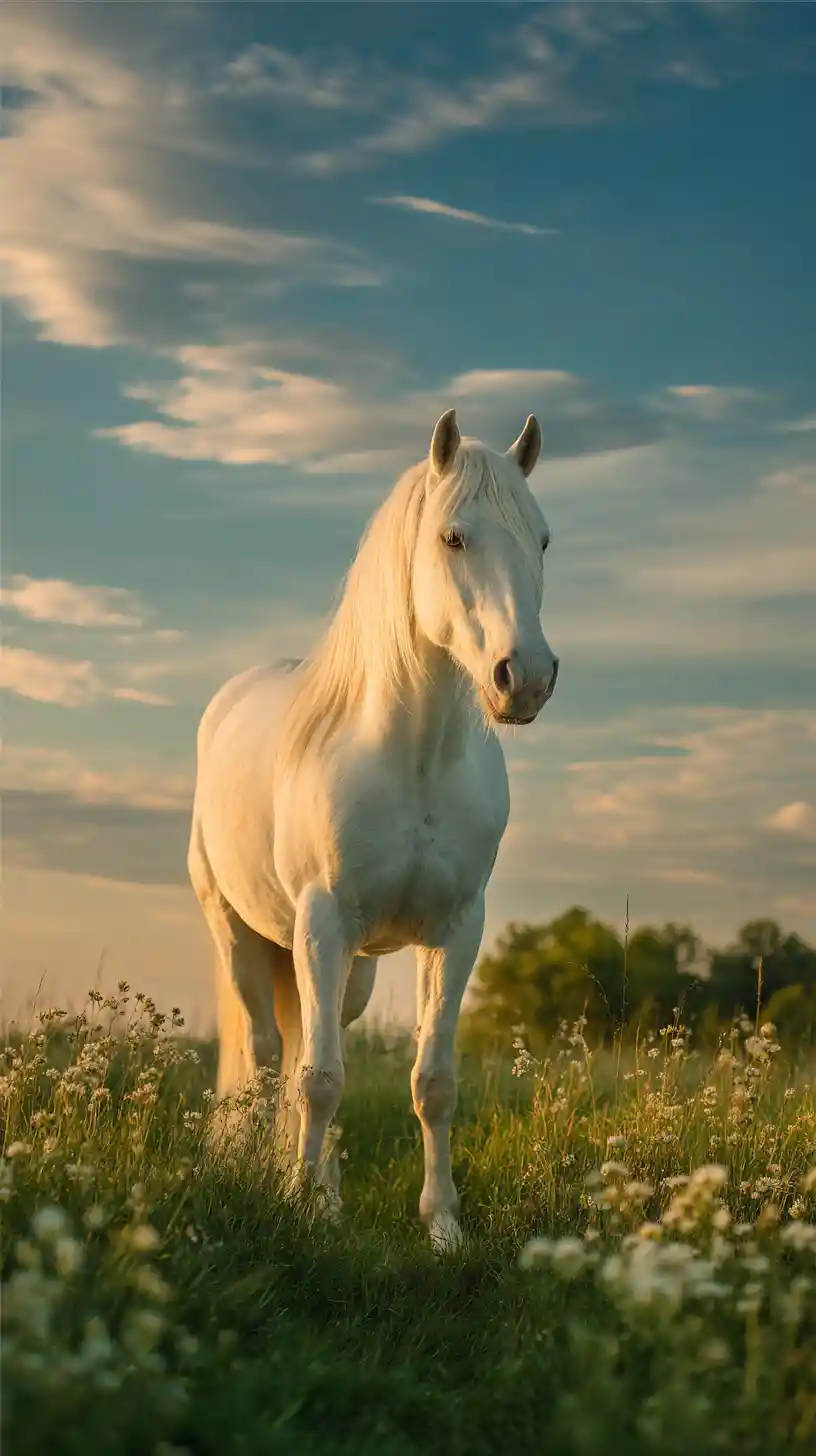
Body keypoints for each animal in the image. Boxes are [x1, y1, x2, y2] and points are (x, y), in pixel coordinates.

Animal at [188, 407, 559, 1249]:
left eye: (543, 539)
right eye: (454, 537)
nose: (525, 678)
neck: (413, 760)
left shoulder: (454, 931)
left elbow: (433, 1081)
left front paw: (443, 1225)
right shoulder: (323, 921)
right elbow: (318, 1081)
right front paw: (302, 1214)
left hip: (347, 969)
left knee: (307, 1042)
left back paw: (318, 1187)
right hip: (243, 935)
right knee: (268, 1058)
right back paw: (274, 1182)